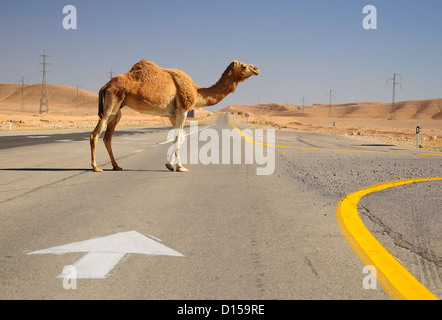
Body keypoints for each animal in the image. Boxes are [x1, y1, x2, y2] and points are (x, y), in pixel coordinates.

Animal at [89, 58, 258, 171]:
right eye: (244, 66)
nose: (256, 68)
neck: (196, 91)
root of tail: (105, 85)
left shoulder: (172, 114)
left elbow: (179, 137)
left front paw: (175, 165)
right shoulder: (183, 109)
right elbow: (178, 137)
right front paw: (175, 166)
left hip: (117, 109)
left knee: (107, 137)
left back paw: (116, 166)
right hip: (112, 103)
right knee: (95, 134)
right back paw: (96, 167)